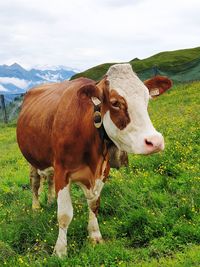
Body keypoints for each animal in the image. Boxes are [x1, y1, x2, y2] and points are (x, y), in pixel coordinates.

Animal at [16, 63, 172, 258]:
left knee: (49, 179)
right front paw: (60, 251)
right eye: (115, 102)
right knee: (35, 181)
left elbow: (94, 204)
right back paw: (36, 208)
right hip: (32, 159)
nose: (155, 141)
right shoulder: (62, 171)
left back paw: (51, 201)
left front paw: (95, 236)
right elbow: (65, 215)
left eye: (147, 99)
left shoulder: (103, 170)